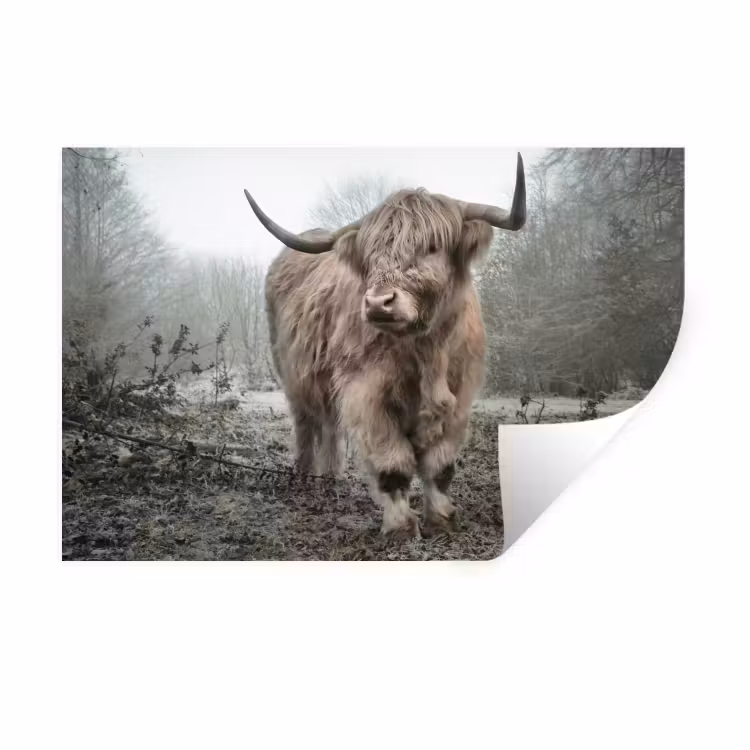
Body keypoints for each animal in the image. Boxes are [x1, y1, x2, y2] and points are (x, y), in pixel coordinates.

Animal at [244, 153, 526, 539]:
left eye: (432, 247)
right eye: (372, 254)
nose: (379, 303)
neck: (426, 351)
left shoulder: (460, 395)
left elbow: (440, 466)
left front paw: (442, 519)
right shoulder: (366, 393)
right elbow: (393, 464)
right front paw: (401, 527)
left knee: (329, 425)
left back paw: (330, 477)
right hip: (292, 374)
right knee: (306, 423)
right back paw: (304, 476)